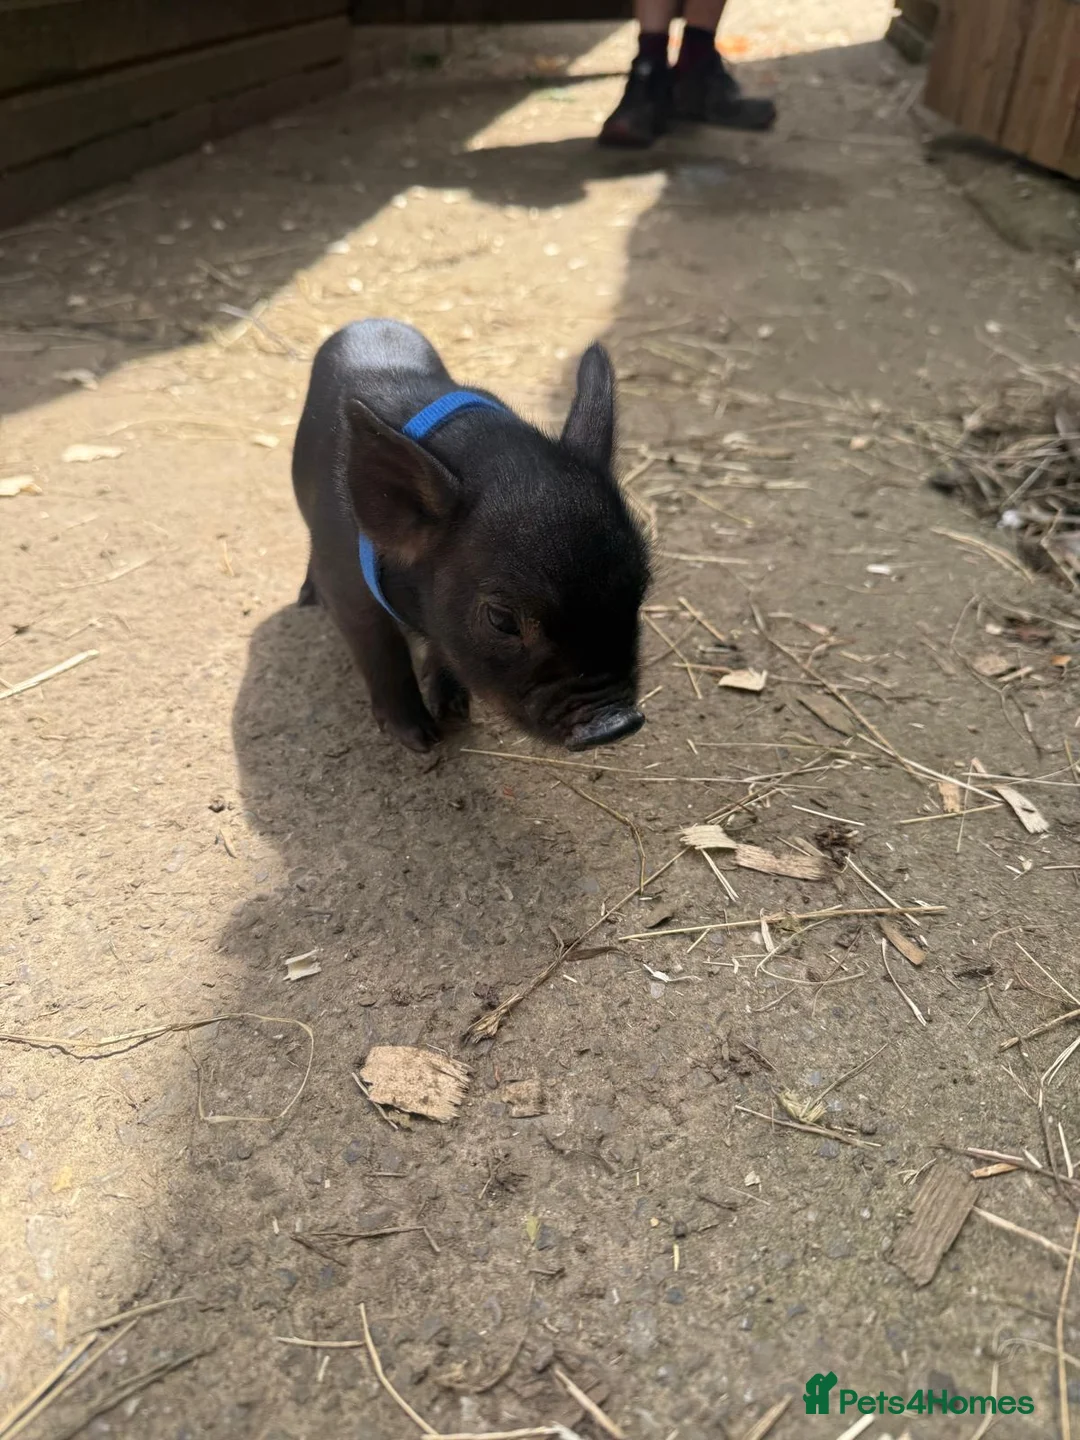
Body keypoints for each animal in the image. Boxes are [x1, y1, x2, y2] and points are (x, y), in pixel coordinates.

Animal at [292, 319, 650, 753]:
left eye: (640, 588)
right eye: (501, 619)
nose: (618, 723)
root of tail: (366, 321)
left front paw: (455, 711)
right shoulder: (346, 588)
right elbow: (381, 653)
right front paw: (422, 740)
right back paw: (306, 599)